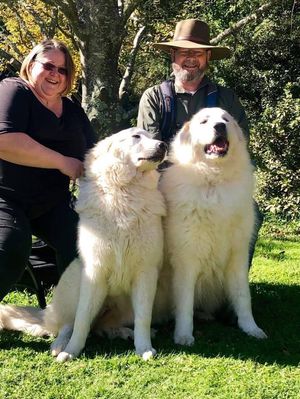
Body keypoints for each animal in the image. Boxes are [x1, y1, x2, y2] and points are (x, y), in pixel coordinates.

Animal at [0, 128, 168, 362]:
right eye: (136, 136)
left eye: (152, 137)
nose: (163, 145)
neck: (124, 194)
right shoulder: (94, 272)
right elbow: (81, 320)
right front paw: (72, 351)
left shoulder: (146, 272)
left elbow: (143, 317)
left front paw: (143, 347)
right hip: (74, 280)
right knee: (67, 325)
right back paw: (60, 345)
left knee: (100, 326)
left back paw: (123, 332)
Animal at [159, 108, 268, 346]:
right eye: (204, 122)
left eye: (225, 119)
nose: (220, 126)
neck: (214, 180)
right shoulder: (187, 258)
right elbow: (185, 303)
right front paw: (183, 335)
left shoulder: (238, 255)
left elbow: (243, 297)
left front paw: (251, 328)